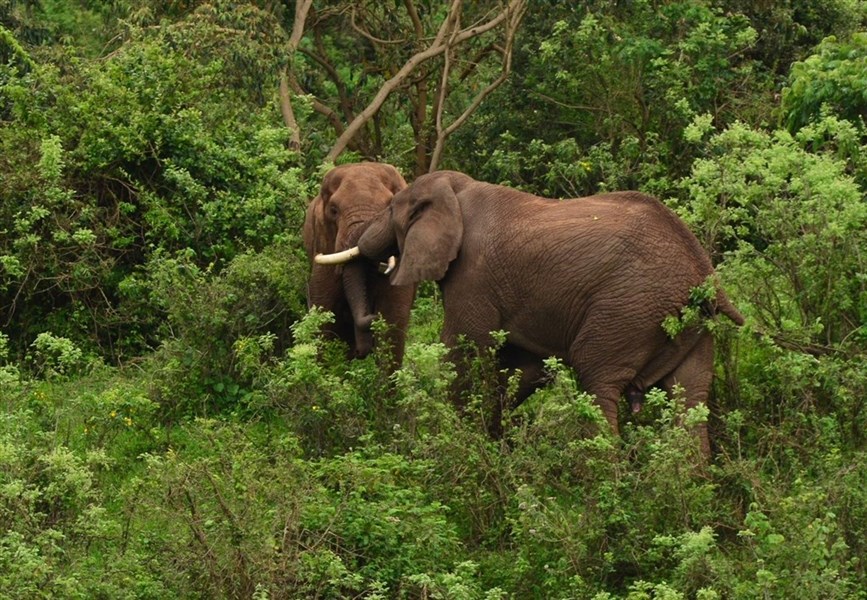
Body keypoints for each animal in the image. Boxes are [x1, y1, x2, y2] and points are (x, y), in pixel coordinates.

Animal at [318, 169, 744, 454]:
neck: (458, 188)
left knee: (597, 380)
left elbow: (464, 349)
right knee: (690, 398)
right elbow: (522, 367)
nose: (367, 325)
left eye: (392, 208)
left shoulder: (473, 274)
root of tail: (704, 271)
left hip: (628, 307)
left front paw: (457, 443)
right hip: (689, 324)